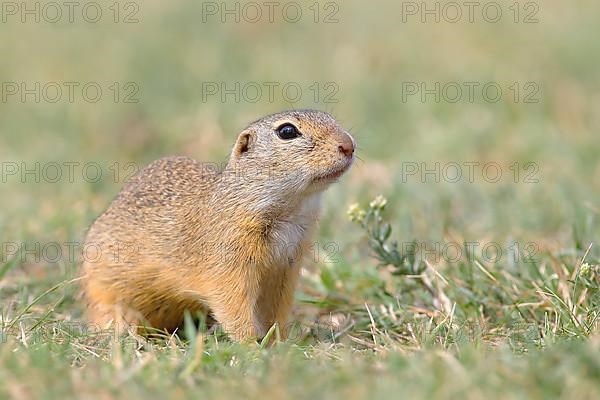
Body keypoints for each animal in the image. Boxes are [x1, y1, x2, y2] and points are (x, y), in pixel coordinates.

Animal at [83, 109, 356, 340]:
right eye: (287, 131)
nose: (349, 145)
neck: (289, 211)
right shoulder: (229, 261)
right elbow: (233, 305)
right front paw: (251, 344)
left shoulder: (285, 269)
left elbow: (276, 310)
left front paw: (279, 342)